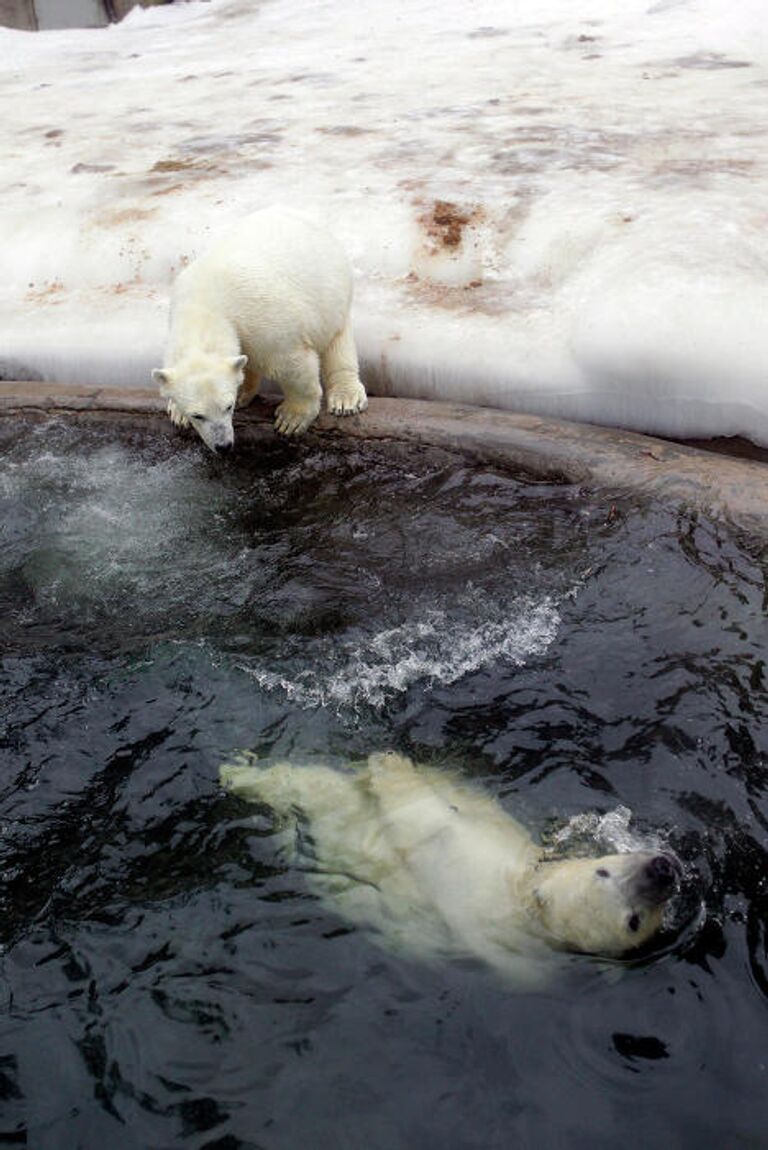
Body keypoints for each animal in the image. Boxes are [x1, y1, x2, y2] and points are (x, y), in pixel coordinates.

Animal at [151, 209, 365, 450]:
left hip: (329, 292)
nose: (223, 446)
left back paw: (346, 399)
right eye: (197, 415)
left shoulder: (263, 321)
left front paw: (291, 418)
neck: (204, 306)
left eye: (228, 406)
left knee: (336, 343)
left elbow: (291, 365)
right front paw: (177, 413)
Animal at [217, 749, 676, 984]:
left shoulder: (467, 874)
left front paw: (390, 766)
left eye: (634, 921)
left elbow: (426, 821)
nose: (663, 868)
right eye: (603, 871)